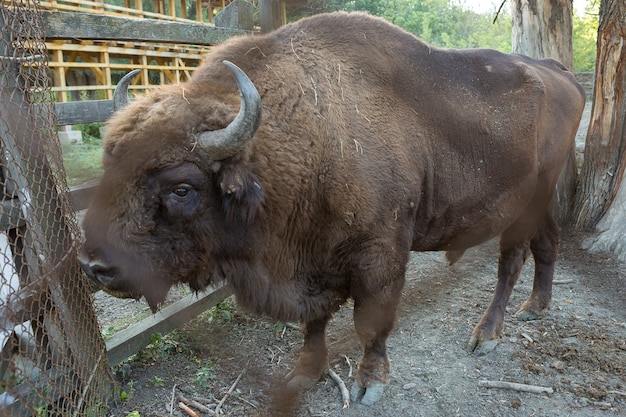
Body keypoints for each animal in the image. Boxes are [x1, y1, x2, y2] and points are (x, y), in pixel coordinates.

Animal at [79, 12, 584, 404]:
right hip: (542, 201)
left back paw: (486, 335)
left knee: (510, 261)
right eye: (110, 163)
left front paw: (370, 384)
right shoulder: (312, 260)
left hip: (525, 204)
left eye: (182, 188)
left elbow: (370, 323)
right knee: (547, 243)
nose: (94, 265)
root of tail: (561, 75)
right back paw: (536, 306)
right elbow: (314, 321)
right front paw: (304, 374)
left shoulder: (380, 255)